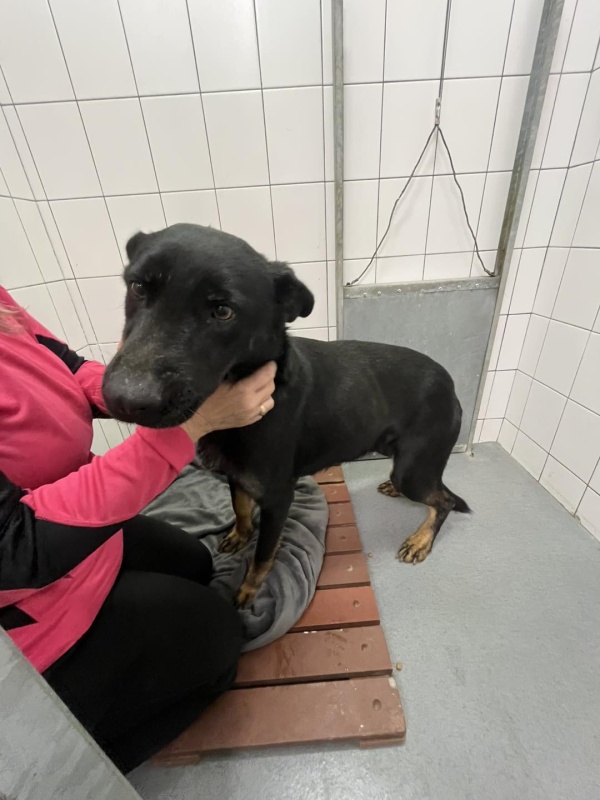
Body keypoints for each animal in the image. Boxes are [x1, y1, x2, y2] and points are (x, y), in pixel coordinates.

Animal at [102, 224, 470, 607]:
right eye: (138, 287)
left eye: (223, 311)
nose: (124, 400)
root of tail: (449, 383)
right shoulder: (238, 479)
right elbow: (241, 509)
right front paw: (240, 535)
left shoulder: (279, 499)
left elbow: (264, 553)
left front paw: (249, 589)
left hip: (413, 469)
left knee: (442, 499)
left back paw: (421, 540)